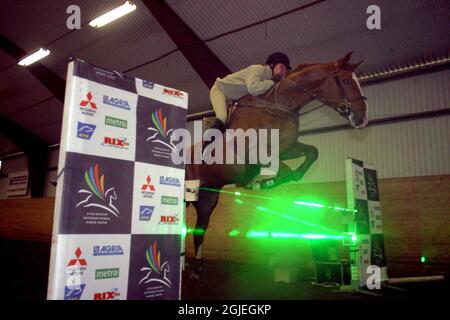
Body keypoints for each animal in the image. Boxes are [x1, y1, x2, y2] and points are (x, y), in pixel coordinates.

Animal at [185, 52, 368, 278]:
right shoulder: (258, 155)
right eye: (345, 81)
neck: (279, 106)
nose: (363, 117)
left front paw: (271, 182)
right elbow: (282, 168)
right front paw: (262, 183)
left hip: (207, 197)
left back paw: (197, 269)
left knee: (199, 229)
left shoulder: (287, 149)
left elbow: (311, 153)